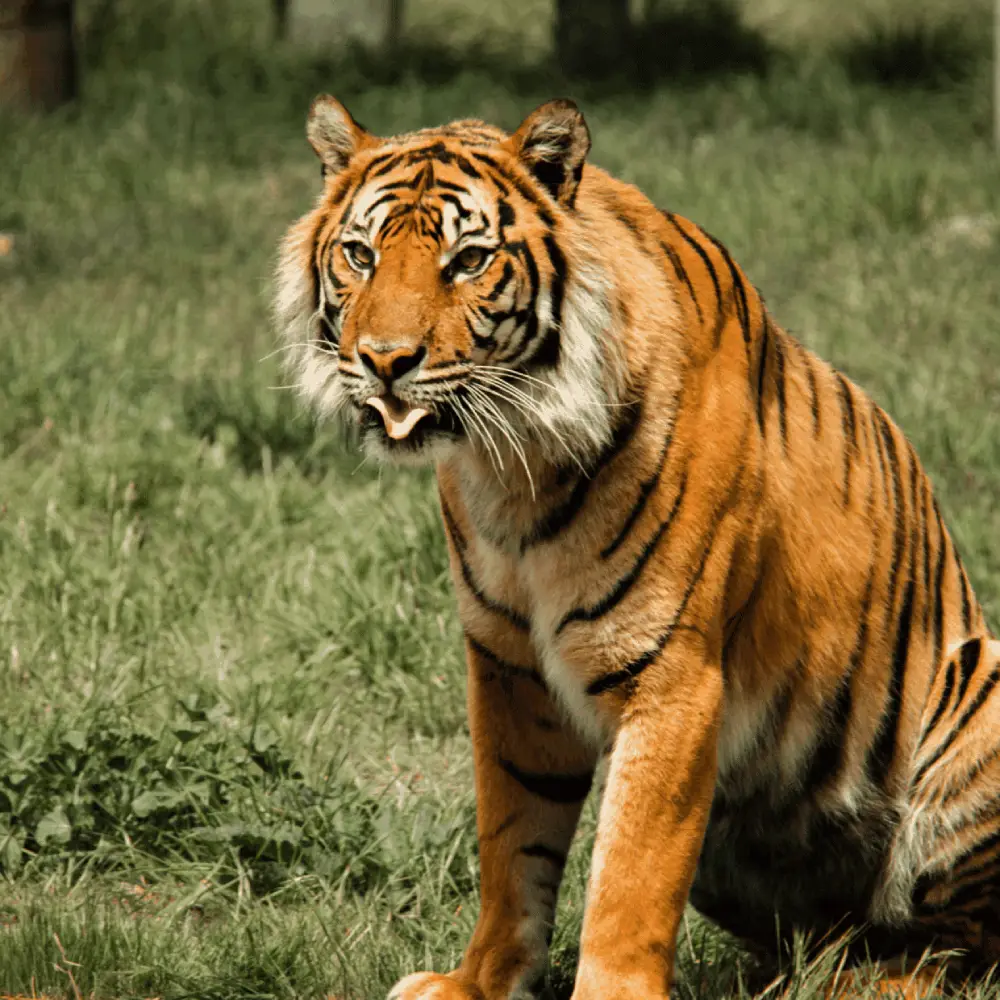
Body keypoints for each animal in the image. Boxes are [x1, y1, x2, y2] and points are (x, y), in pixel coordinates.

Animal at [275, 95, 1000, 999]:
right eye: (360, 255)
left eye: (469, 260)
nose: (384, 363)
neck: (514, 464)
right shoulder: (508, 669)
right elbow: (511, 844)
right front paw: (479, 980)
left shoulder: (670, 676)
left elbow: (630, 871)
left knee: (959, 944)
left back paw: (869, 983)